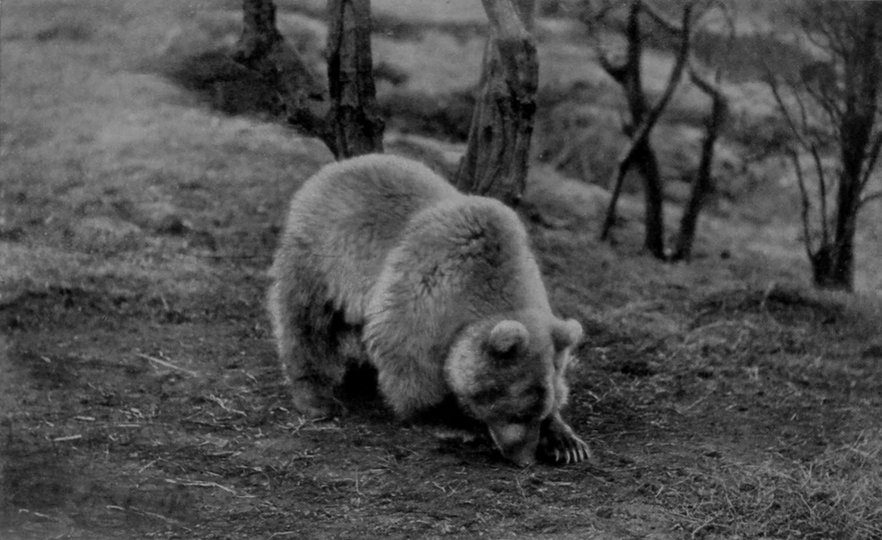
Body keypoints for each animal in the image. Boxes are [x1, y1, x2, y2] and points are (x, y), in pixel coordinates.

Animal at [267, 154, 590, 466]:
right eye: (517, 413)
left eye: (538, 412)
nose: (525, 459)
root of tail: (337, 166)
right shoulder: (425, 295)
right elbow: (409, 359)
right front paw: (451, 422)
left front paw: (566, 442)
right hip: (322, 259)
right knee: (306, 324)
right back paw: (317, 398)